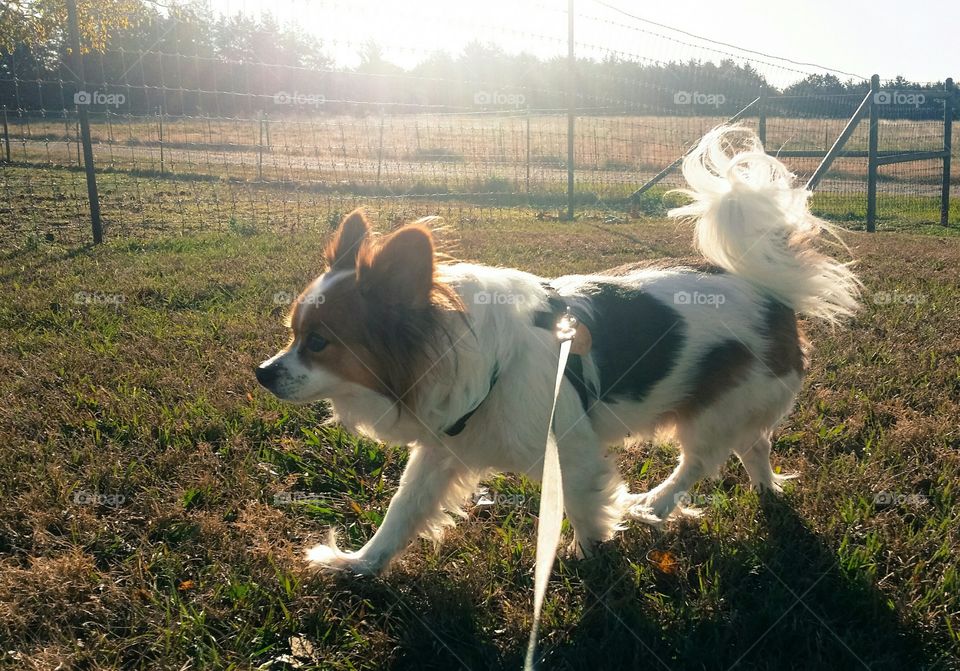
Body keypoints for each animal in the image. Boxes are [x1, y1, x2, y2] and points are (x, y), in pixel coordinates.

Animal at [256, 124, 864, 572]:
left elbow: (584, 507)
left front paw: (590, 559)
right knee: (753, 446)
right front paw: (360, 564)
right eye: (292, 334)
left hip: (713, 412)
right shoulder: (444, 449)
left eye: (318, 343)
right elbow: (403, 510)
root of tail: (770, 292)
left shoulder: (570, 452)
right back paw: (763, 490)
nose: (262, 372)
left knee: (699, 462)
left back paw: (655, 505)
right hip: (732, 404)